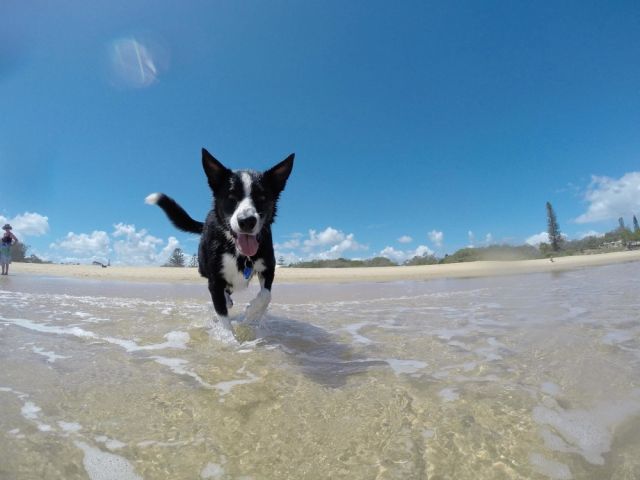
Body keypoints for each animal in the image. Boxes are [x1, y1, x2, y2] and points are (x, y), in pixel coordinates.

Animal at [146, 148, 294, 332]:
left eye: (262, 197)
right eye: (231, 197)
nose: (247, 221)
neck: (239, 252)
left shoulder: (268, 268)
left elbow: (266, 295)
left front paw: (251, 315)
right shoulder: (215, 281)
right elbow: (223, 317)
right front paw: (229, 337)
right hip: (202, 265)